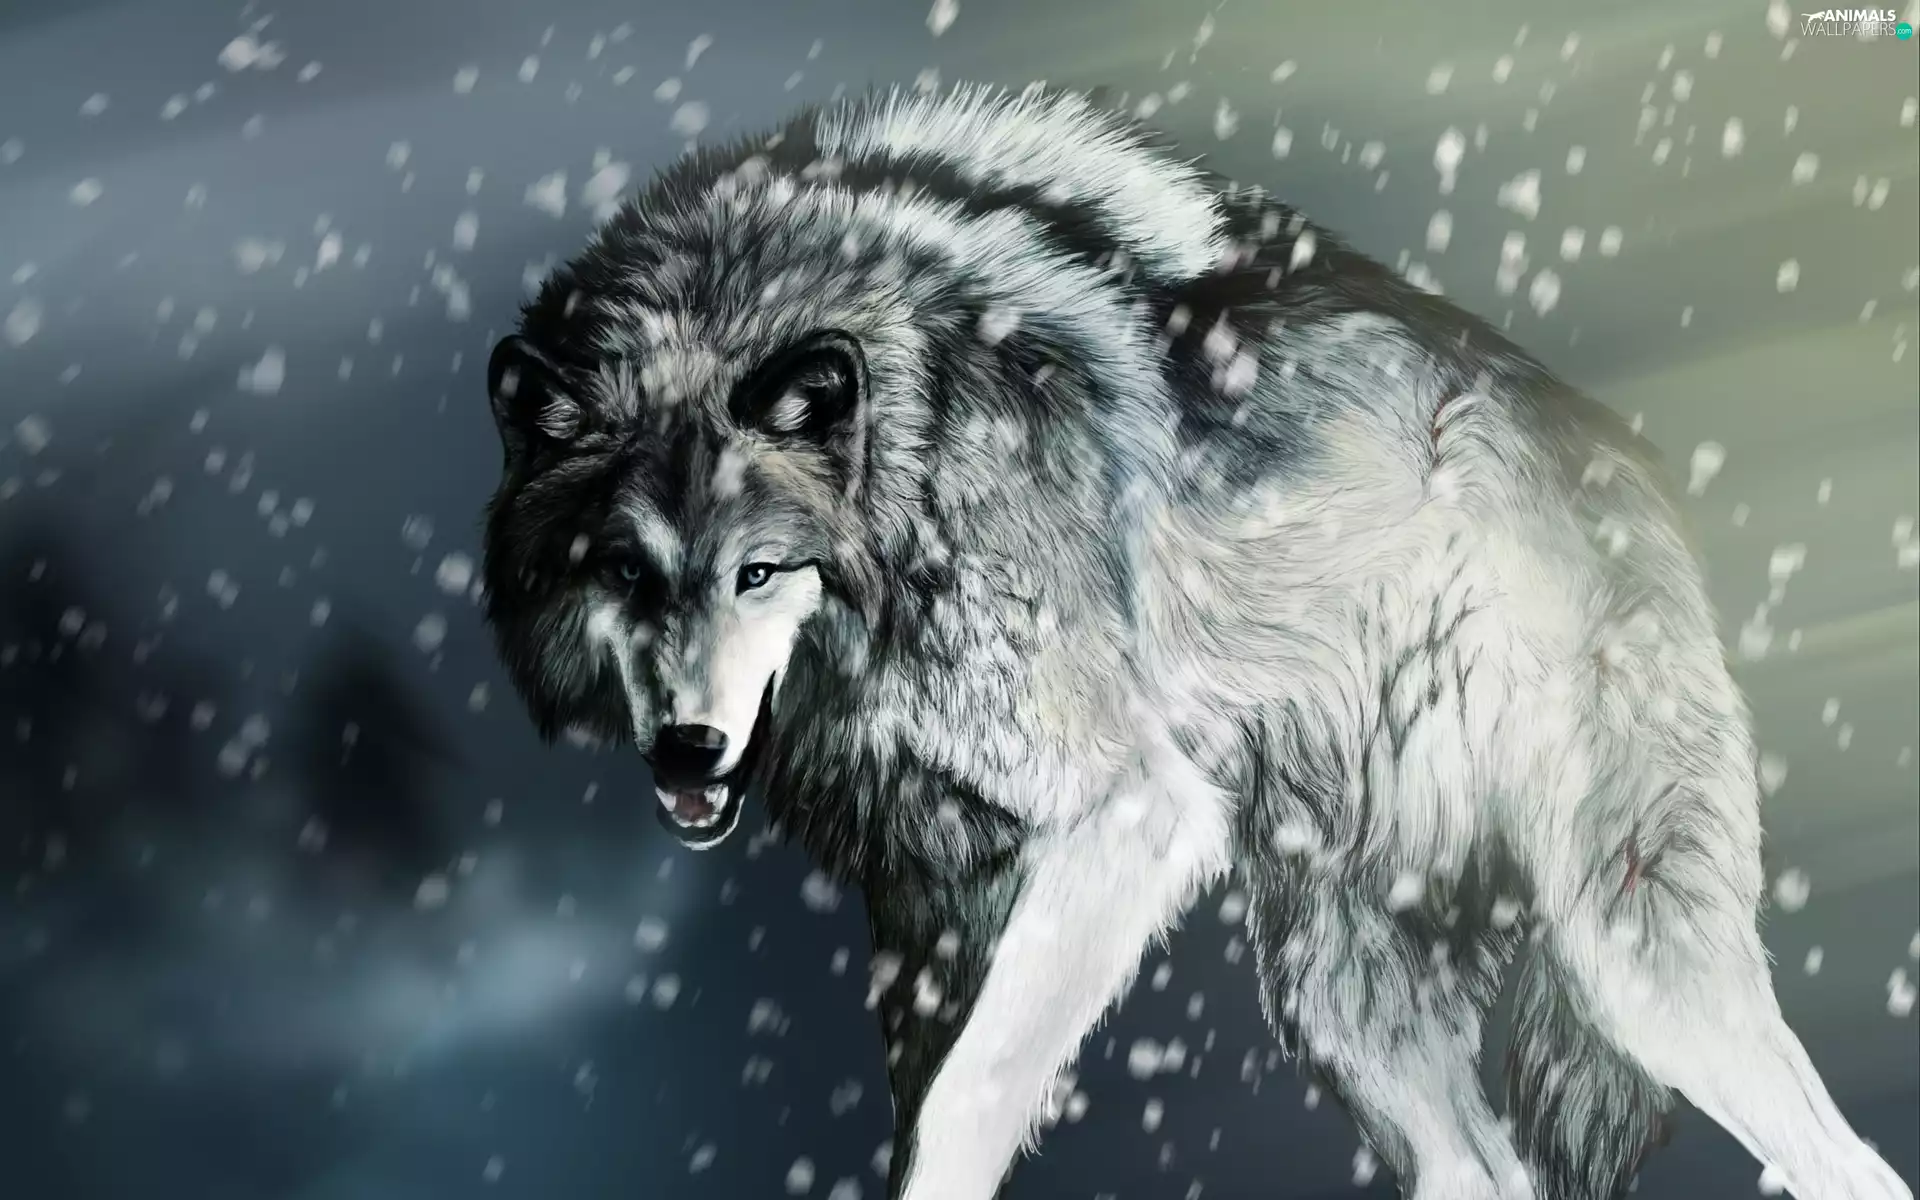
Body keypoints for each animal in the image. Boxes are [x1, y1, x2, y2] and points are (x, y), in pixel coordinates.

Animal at [478, 84, 1911, 1200]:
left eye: (759, 571)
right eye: (625, 571)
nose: (688, 748)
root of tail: (1632, 465)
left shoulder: (1130, 817)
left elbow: (969, 1101)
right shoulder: (929, 907)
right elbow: (925, 1109)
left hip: (1631, 960)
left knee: (1847, 1160)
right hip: (1341, 997)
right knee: (1482, 1167)